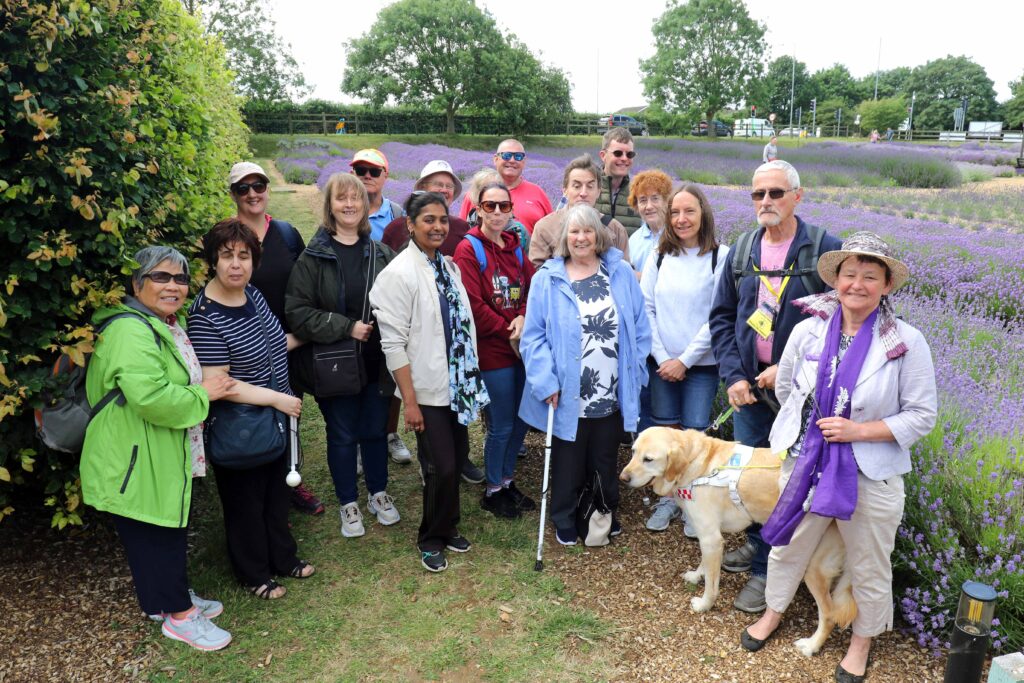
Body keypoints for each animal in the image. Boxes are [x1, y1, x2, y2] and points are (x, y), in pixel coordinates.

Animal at [622, 428, 856, 655]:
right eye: (633, 452)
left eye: (648, 459)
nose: (623, 478)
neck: (698, 463)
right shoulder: (708, 536)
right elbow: (704, 565)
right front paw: (696, 576)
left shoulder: (711, 538)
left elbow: (712, 584)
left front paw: (705, 604)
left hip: (812, 566)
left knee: (829, 614)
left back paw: (811, 645)